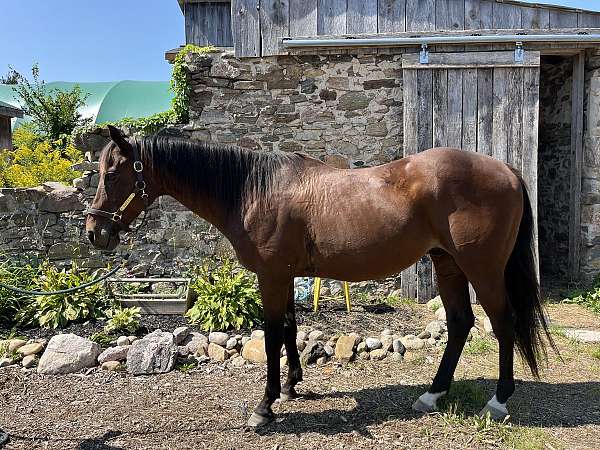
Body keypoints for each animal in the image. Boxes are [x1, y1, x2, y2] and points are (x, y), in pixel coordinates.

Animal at [86, 125, 556, 428]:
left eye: (112, 173)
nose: (94, 233)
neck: (253, 189)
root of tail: (508, 171)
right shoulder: (286, 275)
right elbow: (291, 329)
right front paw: (291, 386)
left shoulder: (271, 276)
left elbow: (272, 335)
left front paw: (265, 406)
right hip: (448, 263)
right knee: (460, 323)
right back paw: (432, 394)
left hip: (483, 268)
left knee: (503, 323)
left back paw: (498, 402)